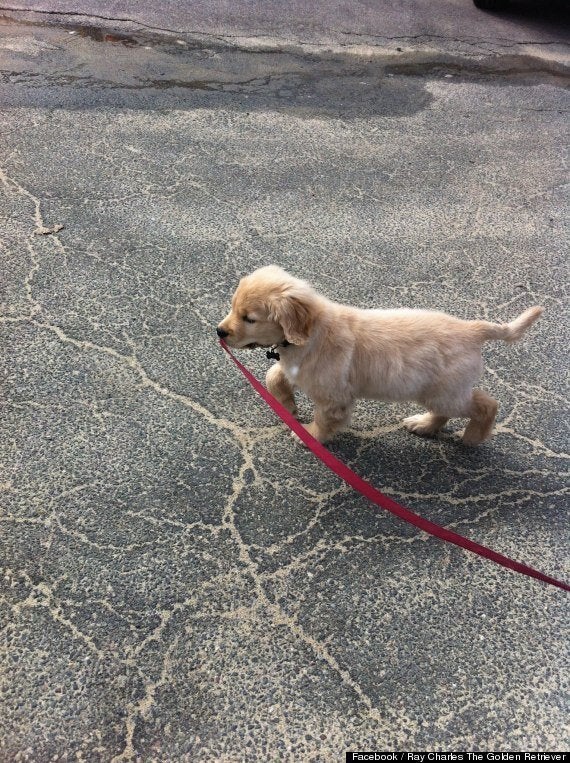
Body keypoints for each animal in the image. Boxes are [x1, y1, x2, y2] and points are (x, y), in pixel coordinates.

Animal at [216, 268, 540, 448]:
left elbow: (324, 418)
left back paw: (473, 437)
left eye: (249, 318)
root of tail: (472, 328)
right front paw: (287, 405)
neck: (312, 331)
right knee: (448, 411)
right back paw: (424, 425)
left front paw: (311, 436)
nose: (219, 331)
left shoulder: (333, 396)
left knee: (487, 404)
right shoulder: (297, 367)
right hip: (436, 391)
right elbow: (274, 375)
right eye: (232, 307)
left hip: (446, 392)